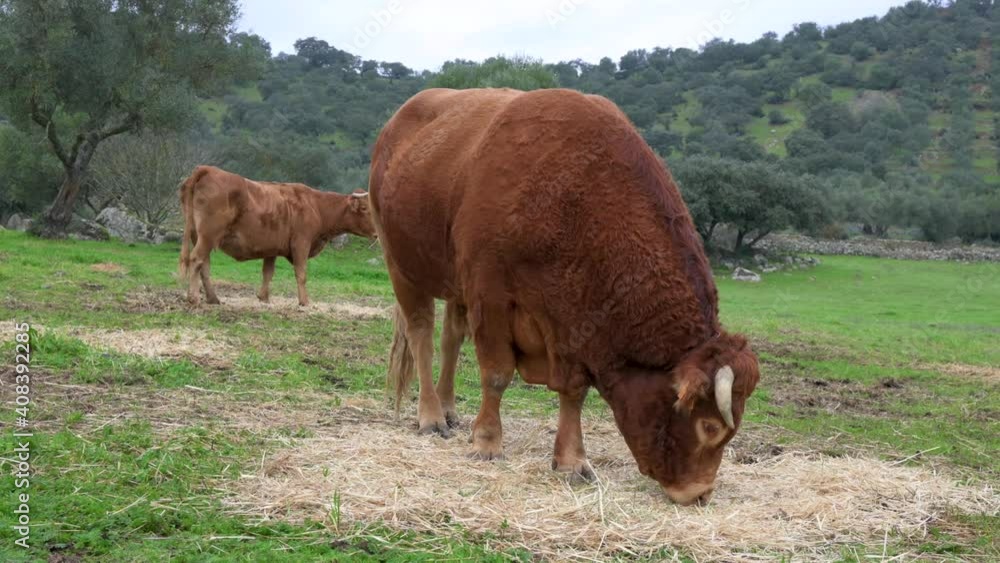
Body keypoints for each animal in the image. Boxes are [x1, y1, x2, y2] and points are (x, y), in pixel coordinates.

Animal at [178, 165, 376, 306]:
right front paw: (304, 302)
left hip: (199, 236)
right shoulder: (301, 243)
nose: (377, 232)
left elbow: (268, 272)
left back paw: (213, 298)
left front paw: (264, 298)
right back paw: (194, 297)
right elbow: (301, 273)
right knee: (196, 260)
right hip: (208, 236)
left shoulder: (271, 248)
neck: (316, 206)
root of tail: (207, 169)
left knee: (204, 266)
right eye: (365, 208)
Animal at [370, 88, 760, 506]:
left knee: (450, 339)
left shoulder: (572, 321)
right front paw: (487, 442)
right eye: (709, 426)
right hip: (402, 266)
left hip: (454, 284)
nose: (699, 493)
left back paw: (447, 408)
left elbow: (573, 392)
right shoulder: (490, 297)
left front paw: (571, 461)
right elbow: (496, 374)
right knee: (422, 336)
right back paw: (430, 416)